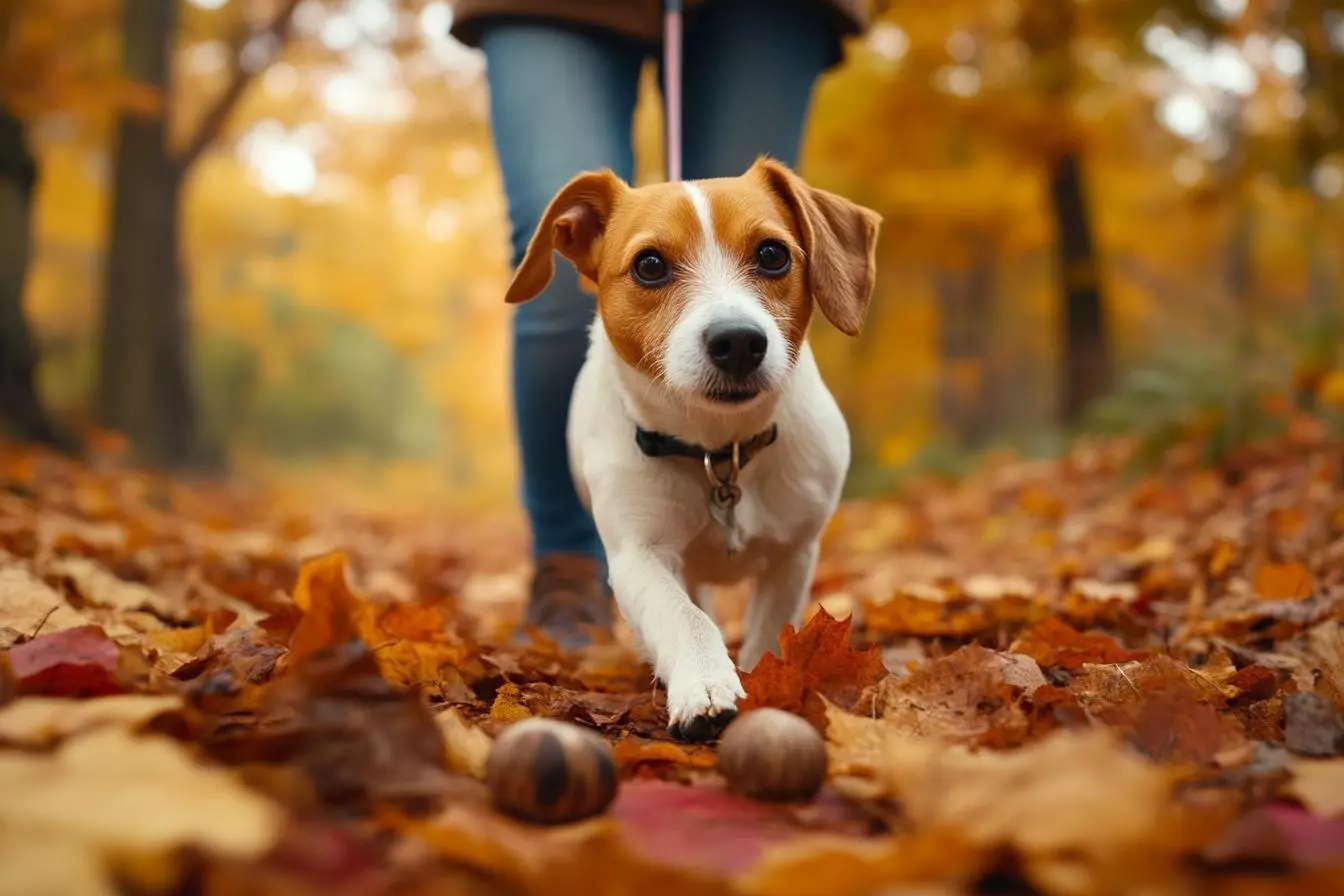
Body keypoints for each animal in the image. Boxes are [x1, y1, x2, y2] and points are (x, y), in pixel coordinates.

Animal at [505, 155, 881, 741]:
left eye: (772, 254)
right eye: (649, 265)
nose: (739, 341)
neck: (717, 450)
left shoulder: (794, 554)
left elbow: (771, 632)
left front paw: (762, 679)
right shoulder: (639, 554)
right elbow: (683, 615)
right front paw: (705, 684)